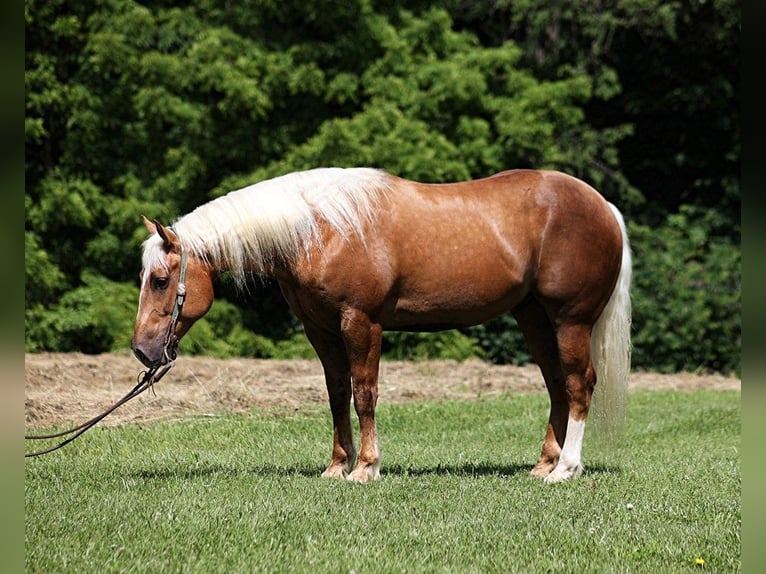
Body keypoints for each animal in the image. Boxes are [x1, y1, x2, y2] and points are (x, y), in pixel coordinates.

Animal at [134, 168, 636, 486]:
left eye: (160, 280)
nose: (142, 351)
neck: (322, 228)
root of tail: (604, 206)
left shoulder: (361, 322)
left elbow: (364, 393)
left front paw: (366, 468)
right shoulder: (321, 329)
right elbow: (337, 394)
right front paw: (337, 466)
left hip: (570, 320)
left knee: (579, 383)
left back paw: (566, 470)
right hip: (533, 318)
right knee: (556, 385)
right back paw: (544, 465)